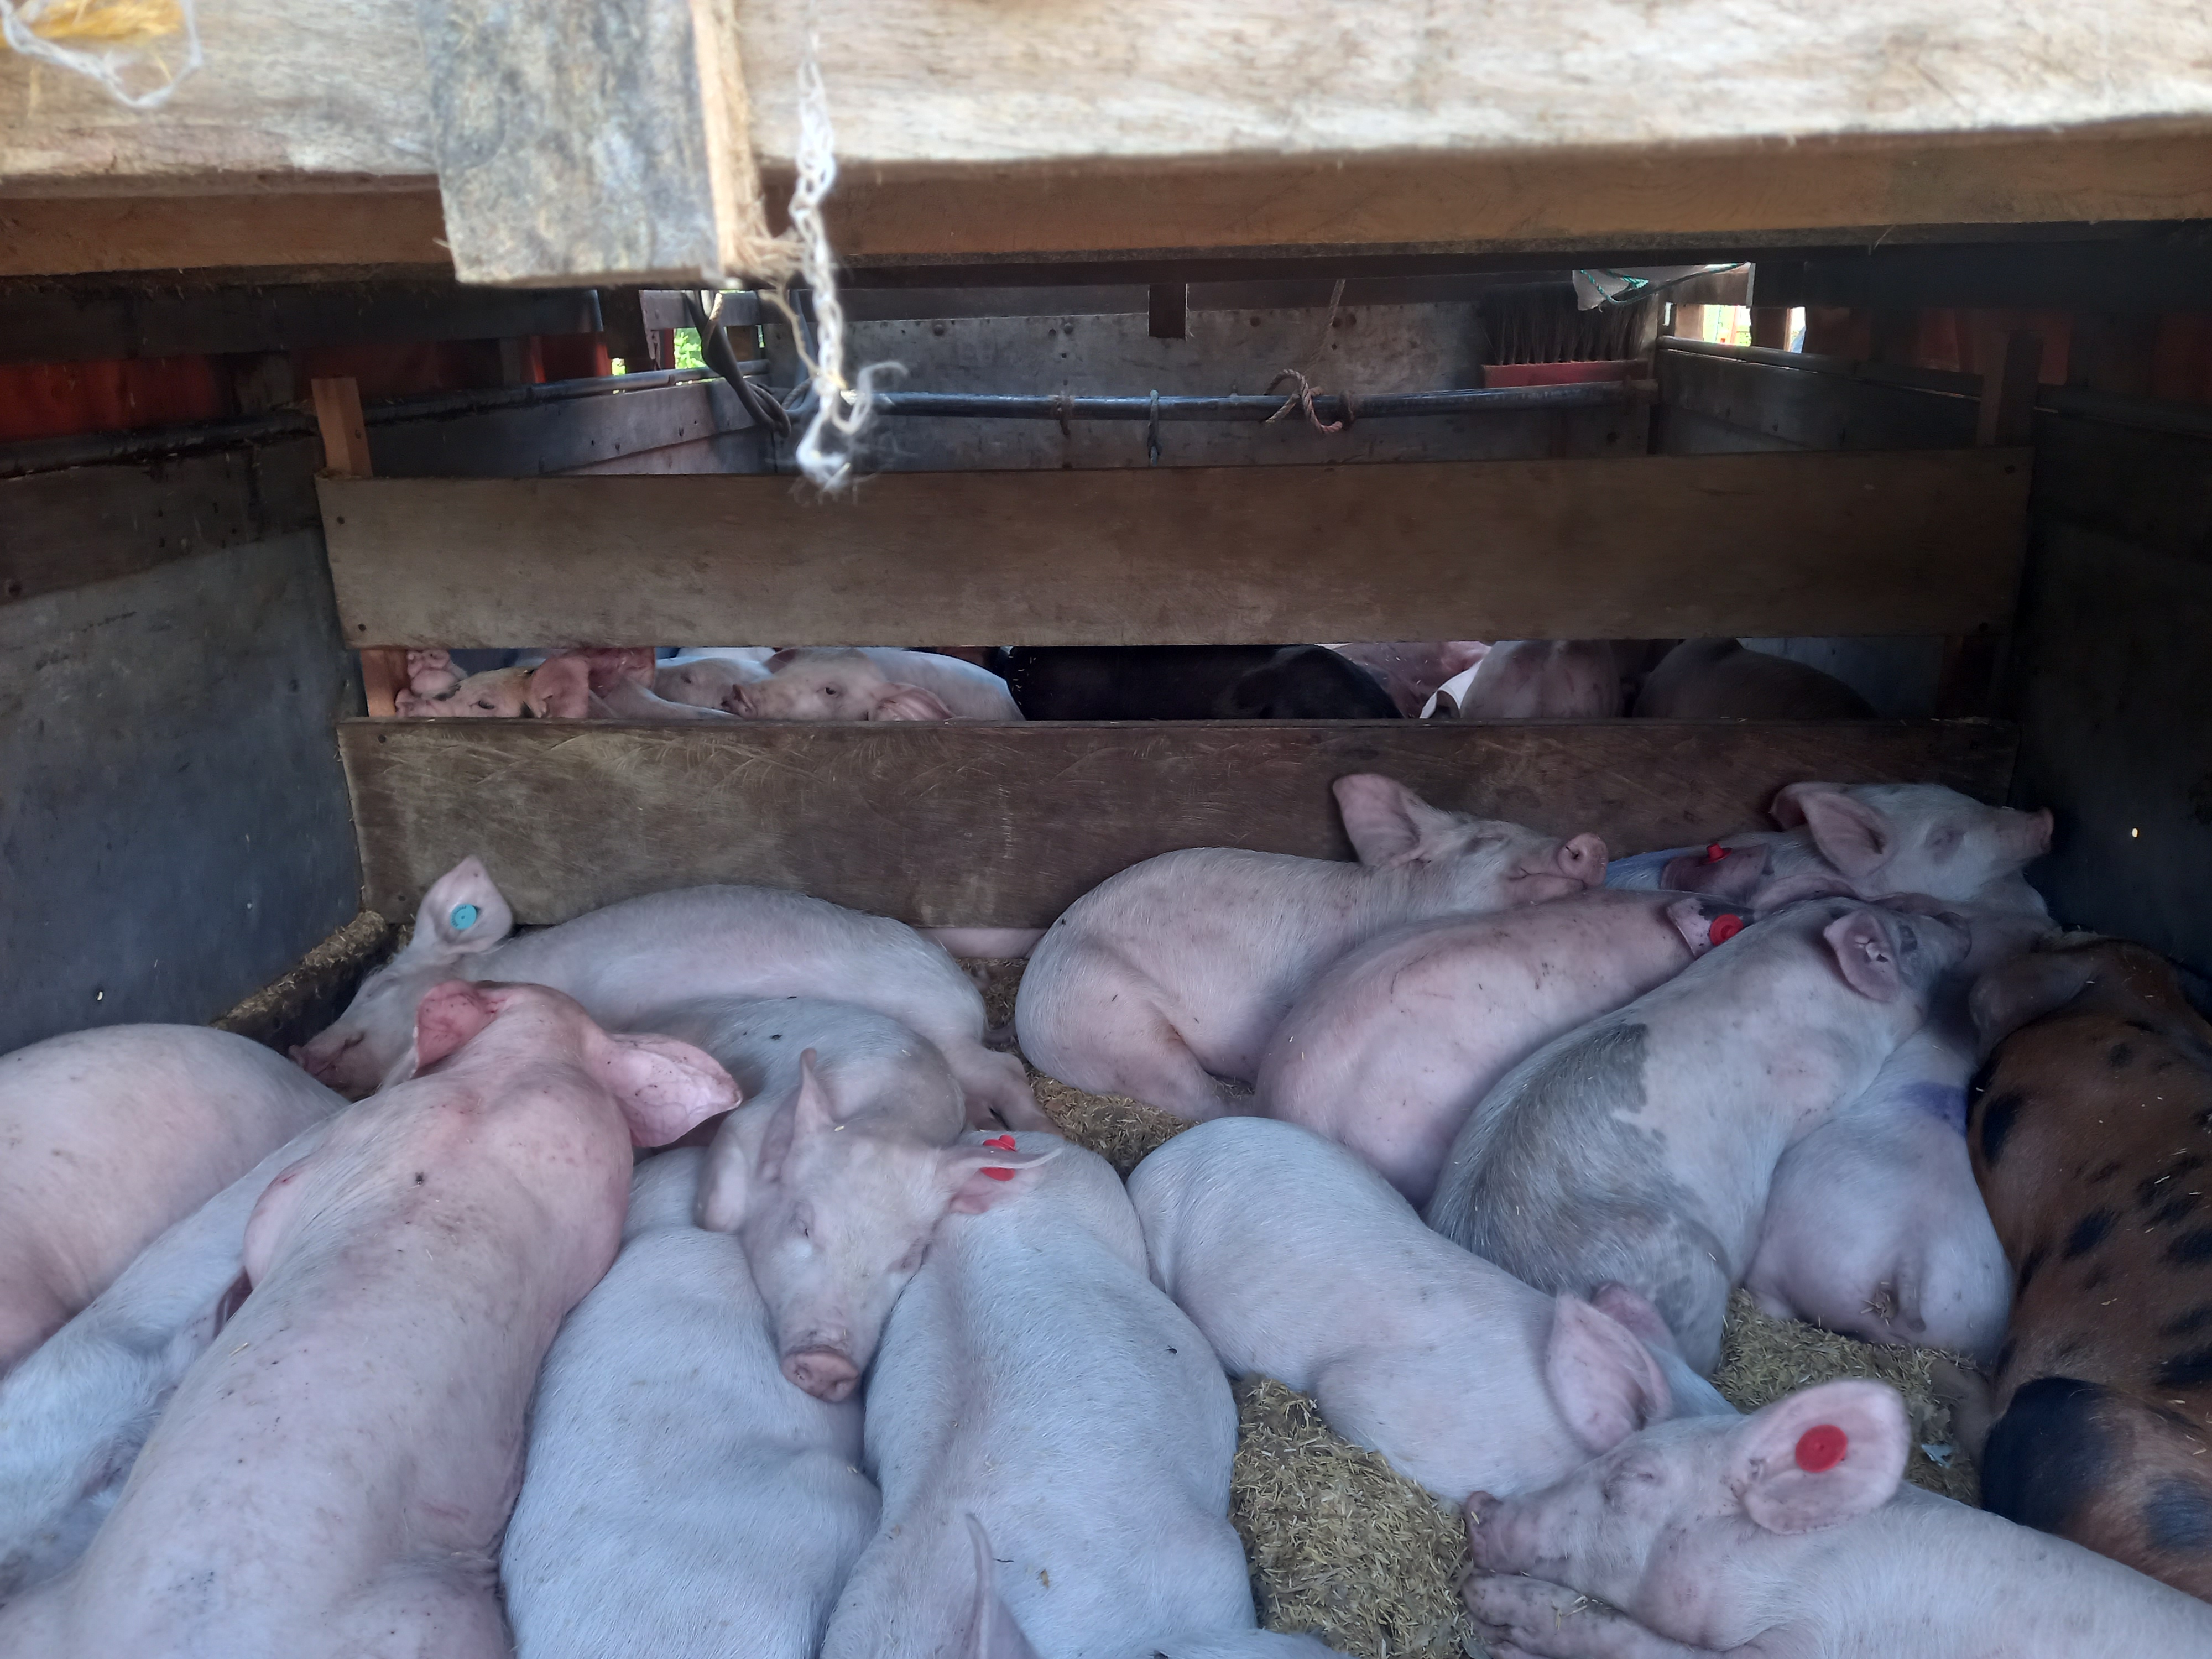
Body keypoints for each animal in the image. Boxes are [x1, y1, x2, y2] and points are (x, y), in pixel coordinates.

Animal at [647, 997, 986, 1401]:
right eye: (804, 1227)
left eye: (908, 1260)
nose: (828, 1362)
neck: (891, 1121)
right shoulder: (741, 1129)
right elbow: (718, 1213)